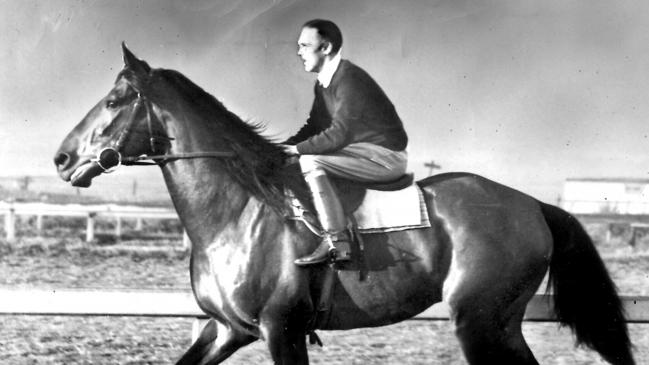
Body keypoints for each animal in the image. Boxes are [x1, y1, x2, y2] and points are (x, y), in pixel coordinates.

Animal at [54, 43, 632, 364]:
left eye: (113, 101)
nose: (62, 159)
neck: (239, 214)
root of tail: (533, 205)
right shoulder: (227, 329)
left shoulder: (282, 330)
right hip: (499, 324)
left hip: (479, 321)